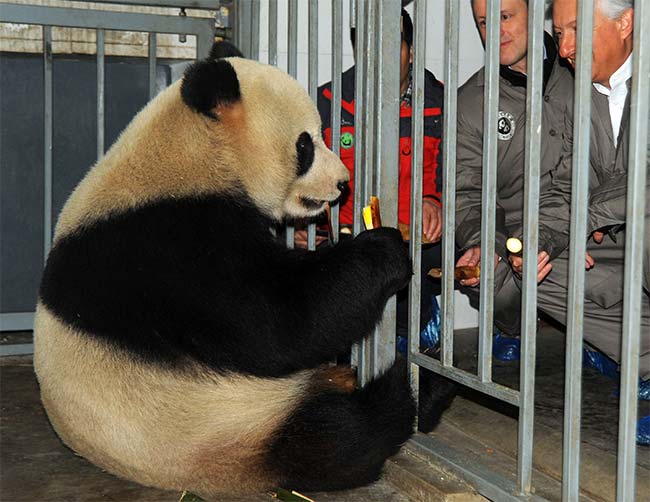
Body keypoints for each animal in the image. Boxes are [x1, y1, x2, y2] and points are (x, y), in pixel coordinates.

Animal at [34, 42, 454, 496]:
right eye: (305, 145)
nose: (343, 182)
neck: (193, 152)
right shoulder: (173, 248)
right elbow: (279, 323)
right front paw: (386, 248)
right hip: (222, 425)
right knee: (336, 436)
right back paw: (416, 389)